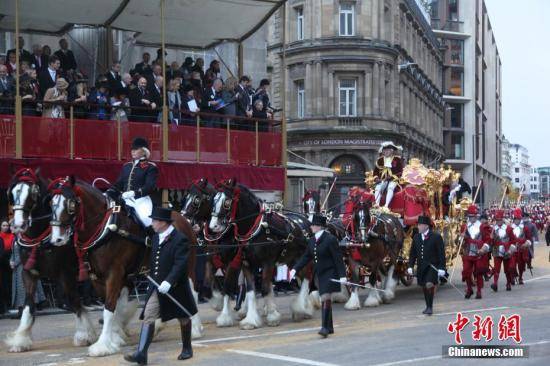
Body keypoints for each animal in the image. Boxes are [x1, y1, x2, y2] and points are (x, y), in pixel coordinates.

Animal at [5, 169, 97, 352]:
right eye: (12, 193)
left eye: (33, 193)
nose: (17, 225)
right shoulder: (29, 273)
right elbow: (28, 304)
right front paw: (21, 340)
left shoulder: (66, 273)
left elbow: (73, 301)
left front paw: (84, 334)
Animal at [45, 176, 204, 356]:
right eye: (51, 203)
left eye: (71, 204)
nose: (57, 239)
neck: (107, 228)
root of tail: (184, 219)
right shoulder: (97, 277)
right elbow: (110, 307)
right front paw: (114, 338)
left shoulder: (114, 273)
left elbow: (109, 308)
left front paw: (102, 345)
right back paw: (158, 325)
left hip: (187, 265)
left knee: (192, 291)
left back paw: (195, 327)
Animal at [207, 178, 314, 328]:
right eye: (213, 200)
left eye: (227, 202)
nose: (213, 226)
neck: (255, 228)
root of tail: (305, 220)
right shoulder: (246, 264)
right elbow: (251, 291)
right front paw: (251, 320)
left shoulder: (267, 262)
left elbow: (264, 289)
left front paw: (272, 317)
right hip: (292, 260)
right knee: (302, 276)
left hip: (303, 257)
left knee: (306, 278)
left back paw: (301, 309)